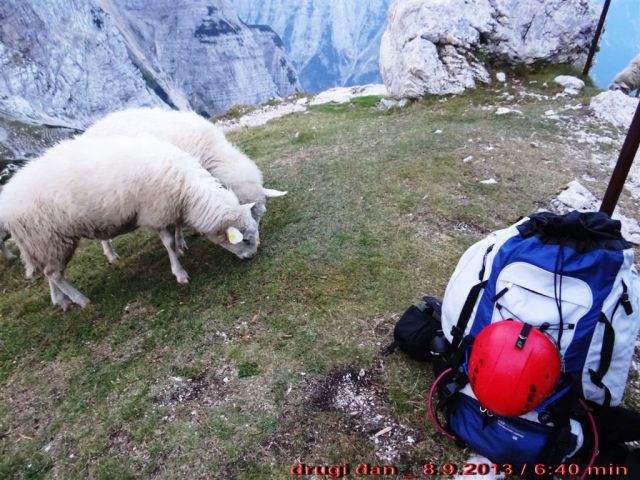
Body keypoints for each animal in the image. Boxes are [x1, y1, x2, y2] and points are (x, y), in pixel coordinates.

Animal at [0, 136, 262, 308]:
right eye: (245, 240)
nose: (252, 258)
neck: (188, 189)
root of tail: (8, 199)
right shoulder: (157, 212)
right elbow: (168, 244)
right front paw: (179, 272)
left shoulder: (169, 211)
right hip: (49, 238)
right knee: (54, 274)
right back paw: (81, 300)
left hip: (41, 242)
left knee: (47, 272)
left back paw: (60, 300)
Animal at [82, 108, 284, 262]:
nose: (257, 243)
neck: (212, 151)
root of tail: (89, 131)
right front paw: (181, 242)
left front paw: (181, 240)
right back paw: (110, 254)